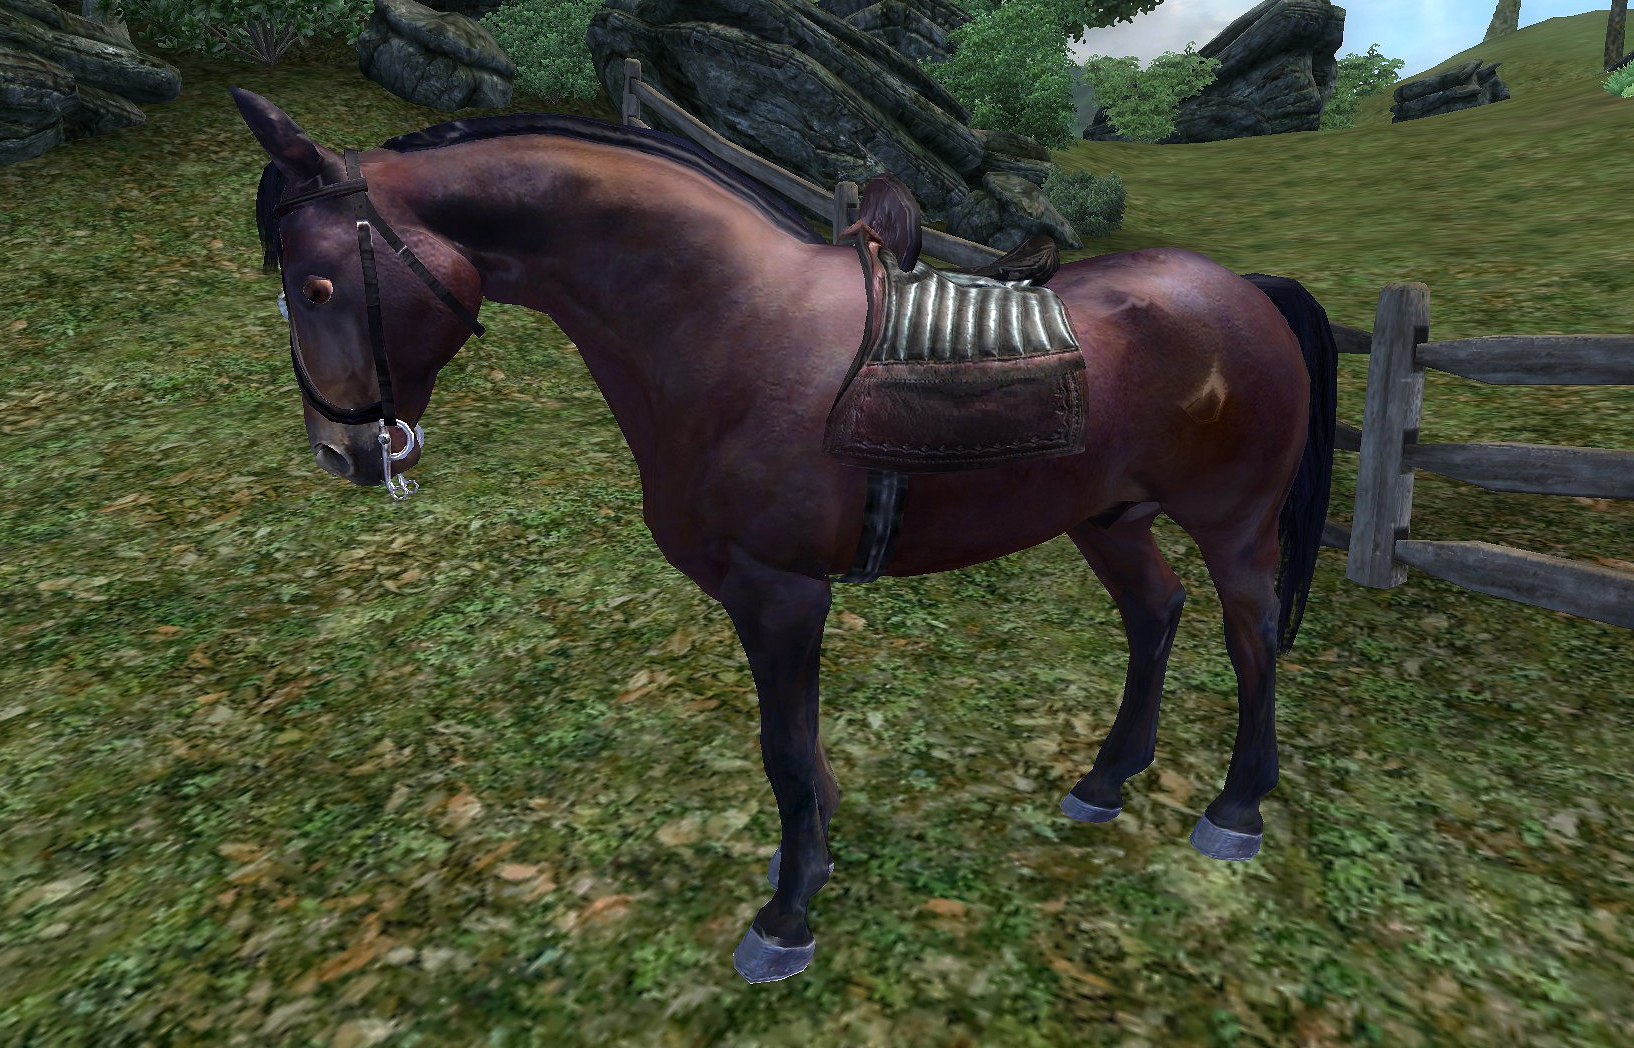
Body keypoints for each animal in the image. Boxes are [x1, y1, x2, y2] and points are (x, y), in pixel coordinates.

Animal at [230, 88, 1338, 984]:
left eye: (318, 285)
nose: (341, 452)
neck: (726, 319)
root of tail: (1245, 288)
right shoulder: (759, 597)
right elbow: (798, 747)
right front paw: (809, 858)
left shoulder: (782, 593)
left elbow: (783, 753)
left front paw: (787, 914)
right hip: (1106, 519)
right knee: (1156, 615)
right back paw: (1106, 780)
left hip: (1233, 526)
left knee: (1247, 641)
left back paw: (1235, 809)